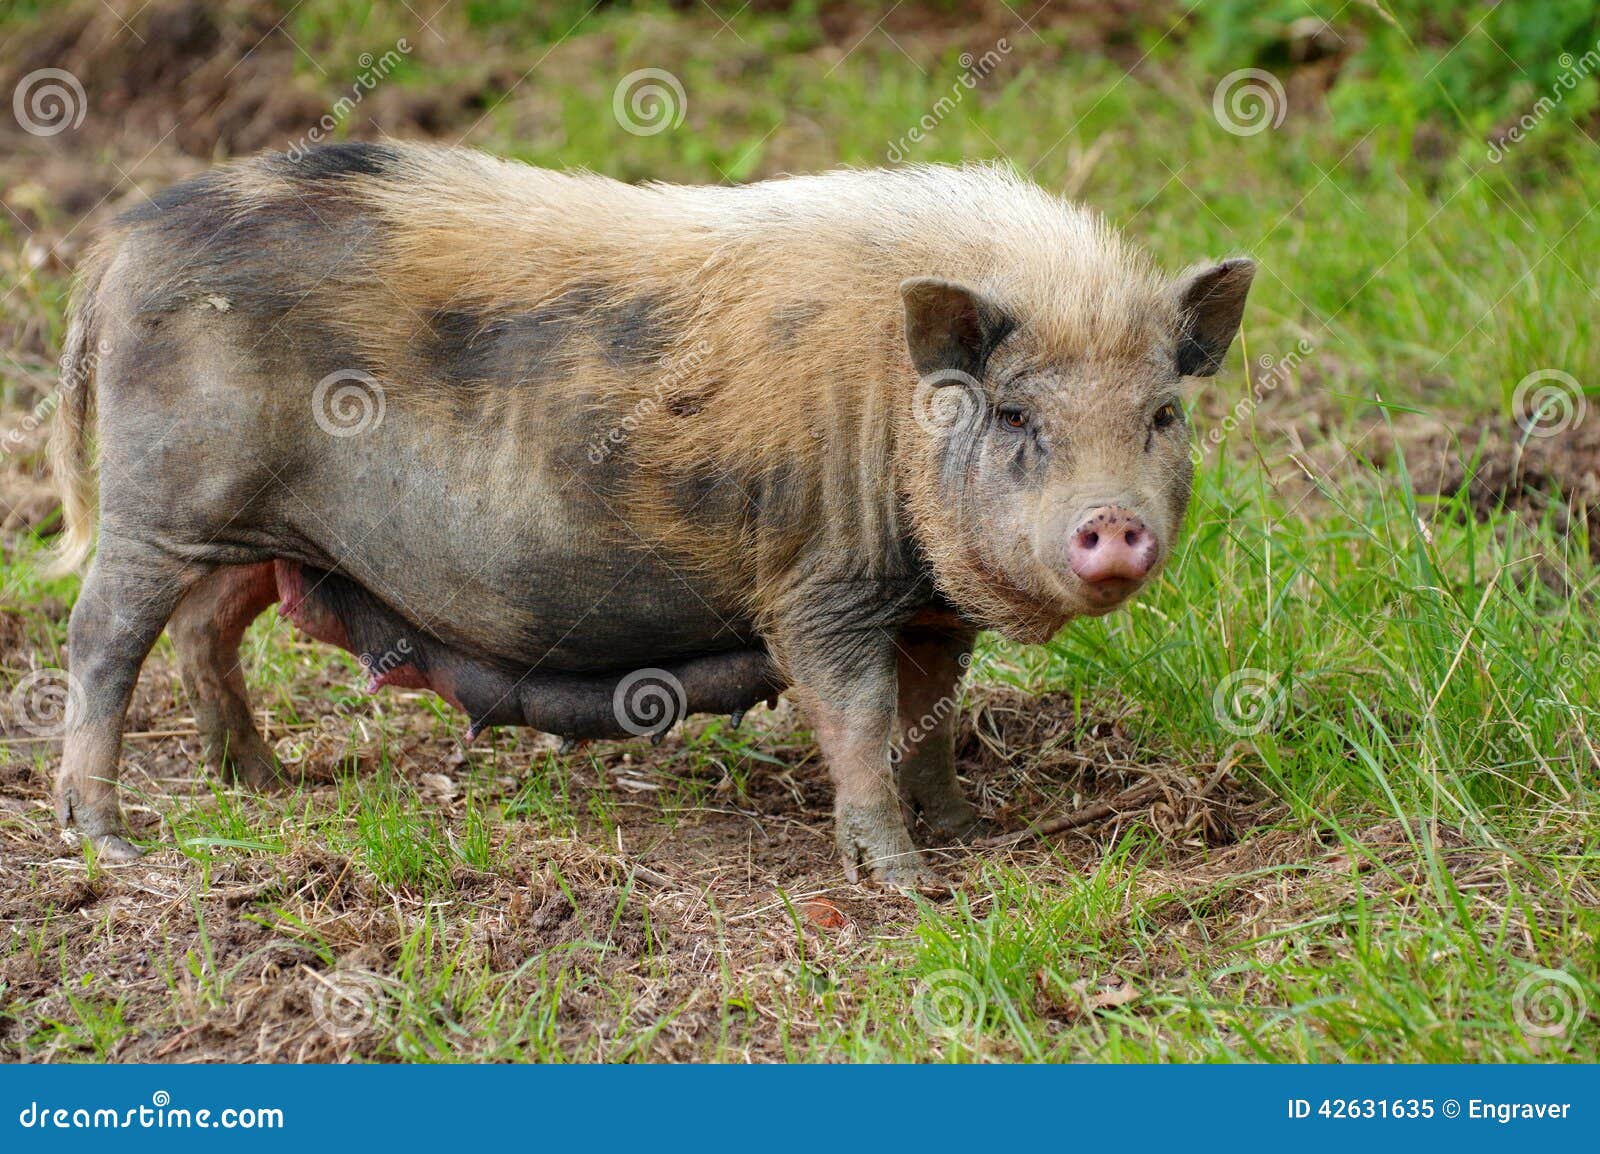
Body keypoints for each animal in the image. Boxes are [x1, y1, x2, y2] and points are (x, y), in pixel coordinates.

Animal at [47, 142, 1253, 887]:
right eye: (1014, 414)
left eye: (1159, 414)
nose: (1111, 523)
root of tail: (120, 247)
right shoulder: (818, 584)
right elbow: (859, 716)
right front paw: (910, 883)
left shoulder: (929, 606)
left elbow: (932, 713)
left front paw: (968, 829)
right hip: (157, 501)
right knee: (102, 638)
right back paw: (115, 842)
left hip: (260, 532)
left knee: (207, 628)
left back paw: (267, 782)